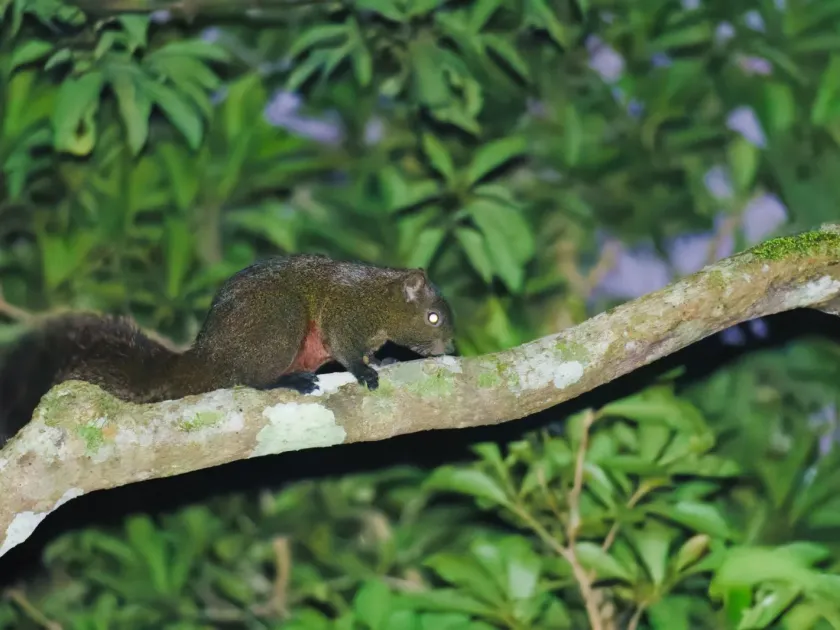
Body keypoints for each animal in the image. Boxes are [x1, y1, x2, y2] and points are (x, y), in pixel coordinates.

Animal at [0, 254, 455, 446]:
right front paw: (365, 371)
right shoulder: (347, 314)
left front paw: (387, 358)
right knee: (249, 378)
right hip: (278, 318)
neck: (381, 299)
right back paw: (286, 380)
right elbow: (346, 348)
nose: (448, 346)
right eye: (433, 317)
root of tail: (207, 356)